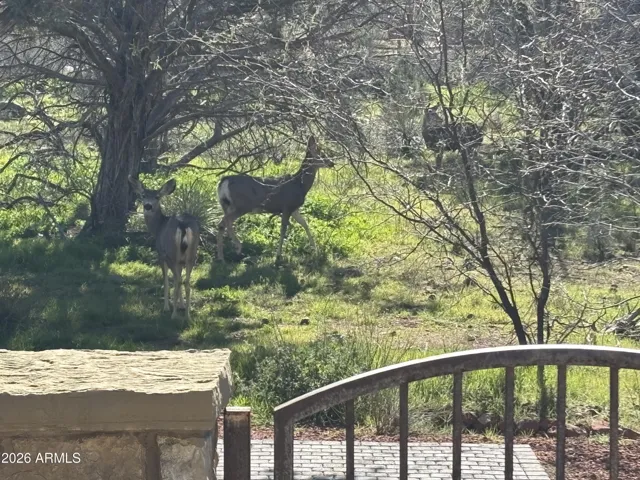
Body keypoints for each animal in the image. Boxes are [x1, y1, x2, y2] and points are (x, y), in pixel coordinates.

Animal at [128, 175, 200, 321]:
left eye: (157, 197)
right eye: (143, 195)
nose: (147, 206)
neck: (158, 228)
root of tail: (183, 225)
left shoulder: (161, 254)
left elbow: (166, 281)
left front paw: (167, 307)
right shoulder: (181, 261)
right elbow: (180, 278)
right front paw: (182, 305)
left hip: (171, 253)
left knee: (177, 281)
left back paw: (173, 315)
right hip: (191, 255)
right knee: (186, 282)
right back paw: (188, 316)